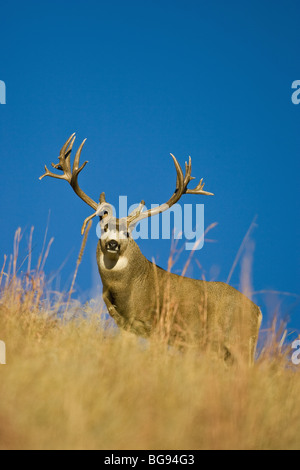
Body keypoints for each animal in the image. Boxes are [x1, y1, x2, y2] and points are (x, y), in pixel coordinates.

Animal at [39, 134, 262, 366]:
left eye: (128, 233)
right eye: (104, 227)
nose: (113, 244)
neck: (130, 288)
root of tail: (257, 311)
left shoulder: (156, 325)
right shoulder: (124, 324)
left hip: (239, 341)